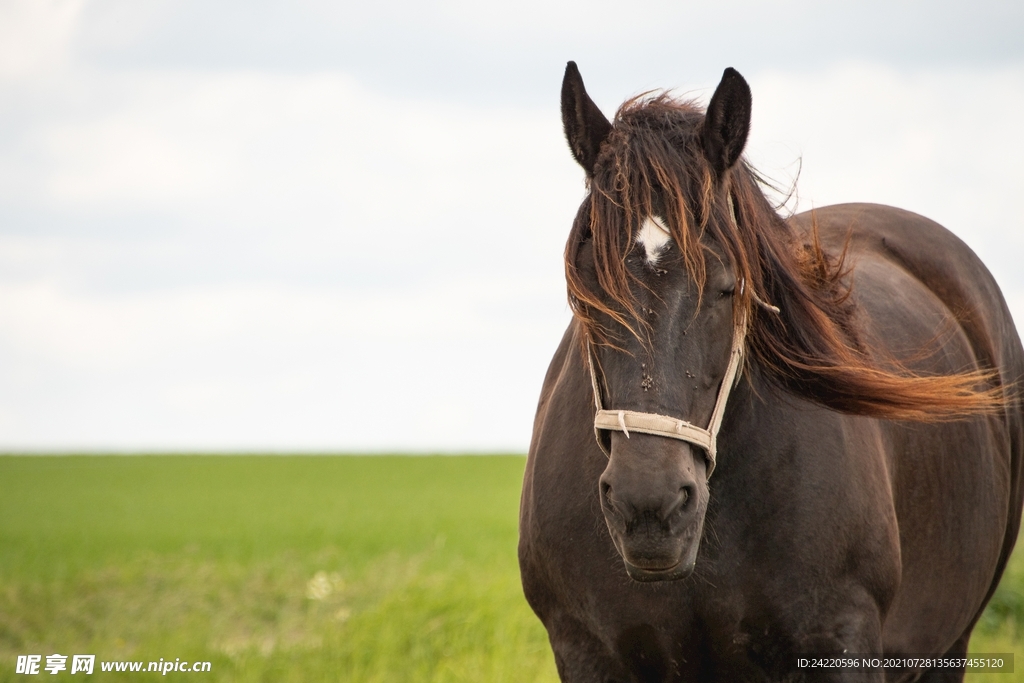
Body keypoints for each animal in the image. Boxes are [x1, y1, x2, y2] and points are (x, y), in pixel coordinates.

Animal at [518, 62, 1024, 682]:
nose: (649, 507)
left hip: (948, 647)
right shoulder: (586, 650)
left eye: (727, 286)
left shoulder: (839, 642)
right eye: (584, 289)